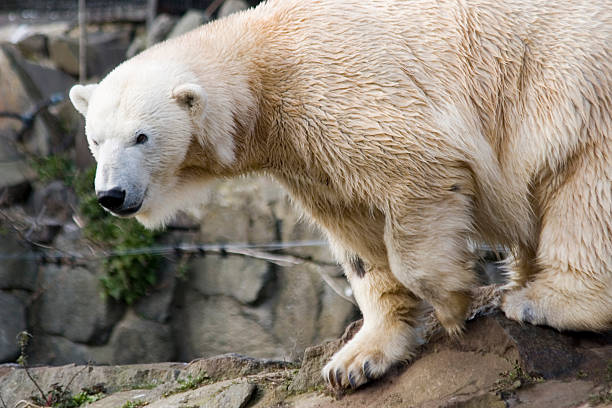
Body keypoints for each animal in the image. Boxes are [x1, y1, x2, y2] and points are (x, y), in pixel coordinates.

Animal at [68, 0, 612, 388]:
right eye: (95, 139)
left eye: (141, 136)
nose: (111, 195)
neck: (264, 63)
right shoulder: (307, 154)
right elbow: (357, 236)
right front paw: (355, 361)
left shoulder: (342, 93)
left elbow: (416, 171)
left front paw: (453, 301)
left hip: (570, 81)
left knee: (585, 186)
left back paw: (542, 301)